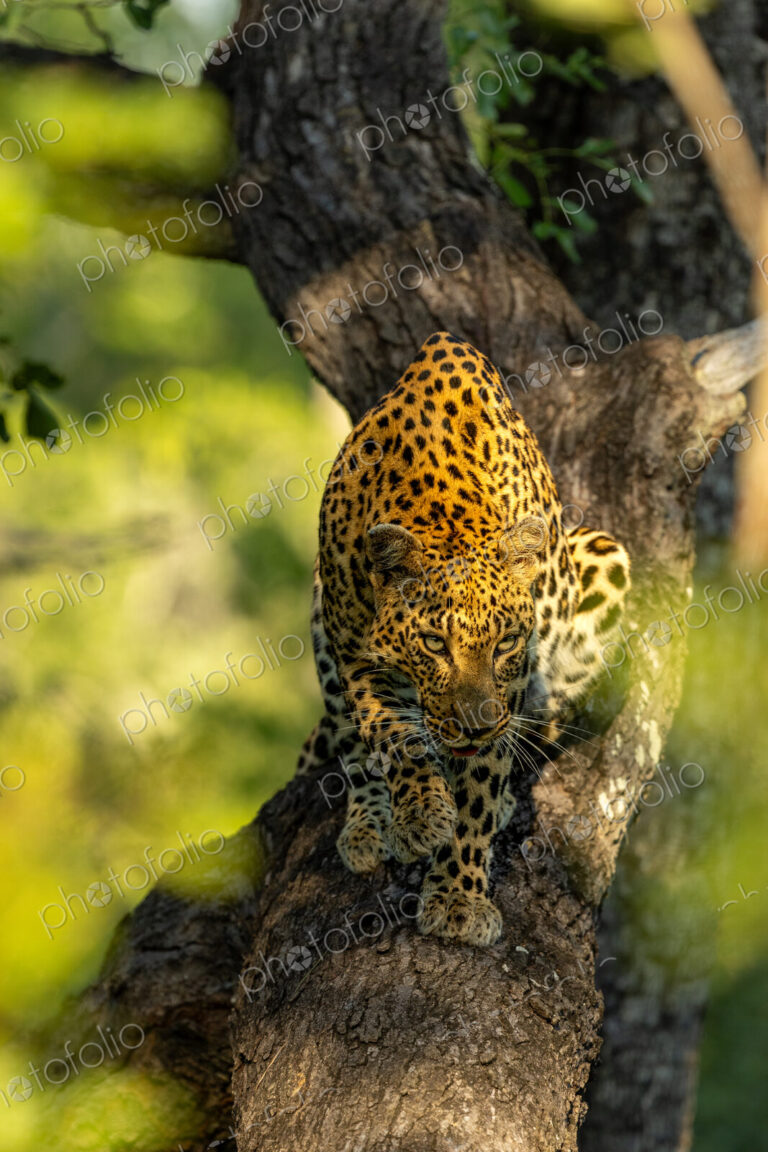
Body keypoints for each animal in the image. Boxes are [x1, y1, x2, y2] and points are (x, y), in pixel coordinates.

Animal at [298, 331, 630, 946]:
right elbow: (391, 734)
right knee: (354, 750)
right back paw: (371, 823)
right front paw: (421, 815)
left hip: (604, 559)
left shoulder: (513, 683)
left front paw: (457, 893)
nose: (474, 725)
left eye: (504, 645)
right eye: (433, 645)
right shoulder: (354, 651)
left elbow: (479, 782)